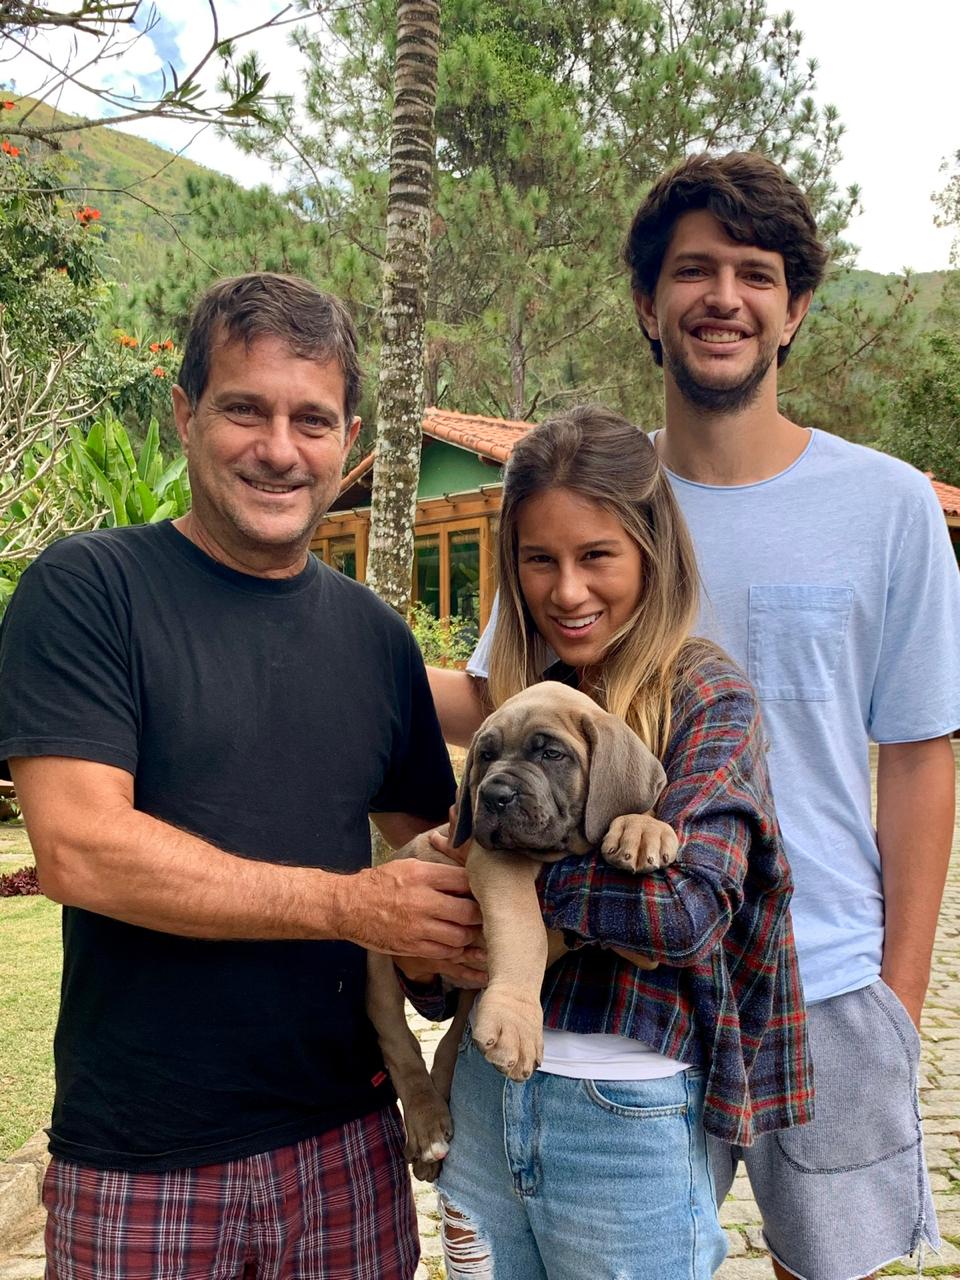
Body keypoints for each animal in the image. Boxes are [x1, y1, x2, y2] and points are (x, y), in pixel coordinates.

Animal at [366, 682, 678, 1180]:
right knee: (399, 1042)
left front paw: (643, 827)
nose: (494, 794)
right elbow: (524, 930)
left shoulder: (643, 943)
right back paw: (427, 1128)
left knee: (447, 1044)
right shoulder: (495, 862)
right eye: (486, 756)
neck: (559, 853)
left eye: (551, 753)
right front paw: (516, 1023)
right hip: (378, 963)